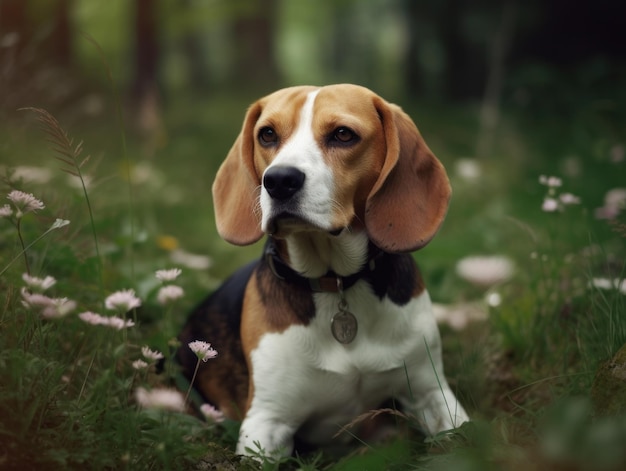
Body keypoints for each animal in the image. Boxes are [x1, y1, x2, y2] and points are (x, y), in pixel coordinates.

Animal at [178, 84, 466, 458]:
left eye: (343, 134)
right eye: (267, 134)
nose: (279, 180)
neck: (336, 282)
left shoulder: (434, 394)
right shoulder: (267, 424)